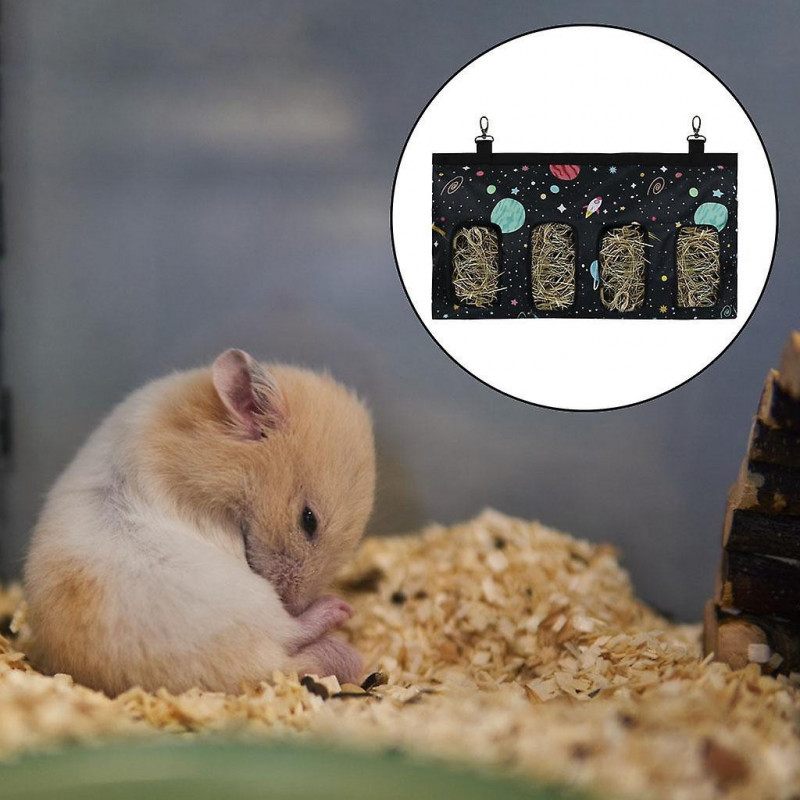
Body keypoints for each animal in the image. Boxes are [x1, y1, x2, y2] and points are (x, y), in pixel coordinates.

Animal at [23, 349, 376, 696]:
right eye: (308, 520)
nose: (292, 603)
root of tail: (265, 668)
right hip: (244, 597)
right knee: (290, 632)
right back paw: (339, 611)